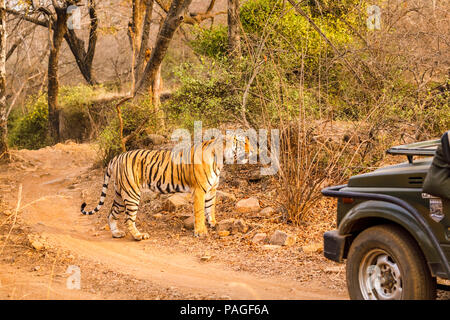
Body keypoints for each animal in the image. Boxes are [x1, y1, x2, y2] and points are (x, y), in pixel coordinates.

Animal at [80, 134, 253, 241]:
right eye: (242, 142)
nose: (252, 151)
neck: (220, 160)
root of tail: (117, 157)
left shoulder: (211, 190)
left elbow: (211, 209)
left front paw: (213, 224)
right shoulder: (199, 191)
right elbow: (199, 212)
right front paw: (200, 232)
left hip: (119, 193)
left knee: (111, 214)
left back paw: (116, 233)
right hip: (131, 193)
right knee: (129, 219)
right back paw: (138, 236)